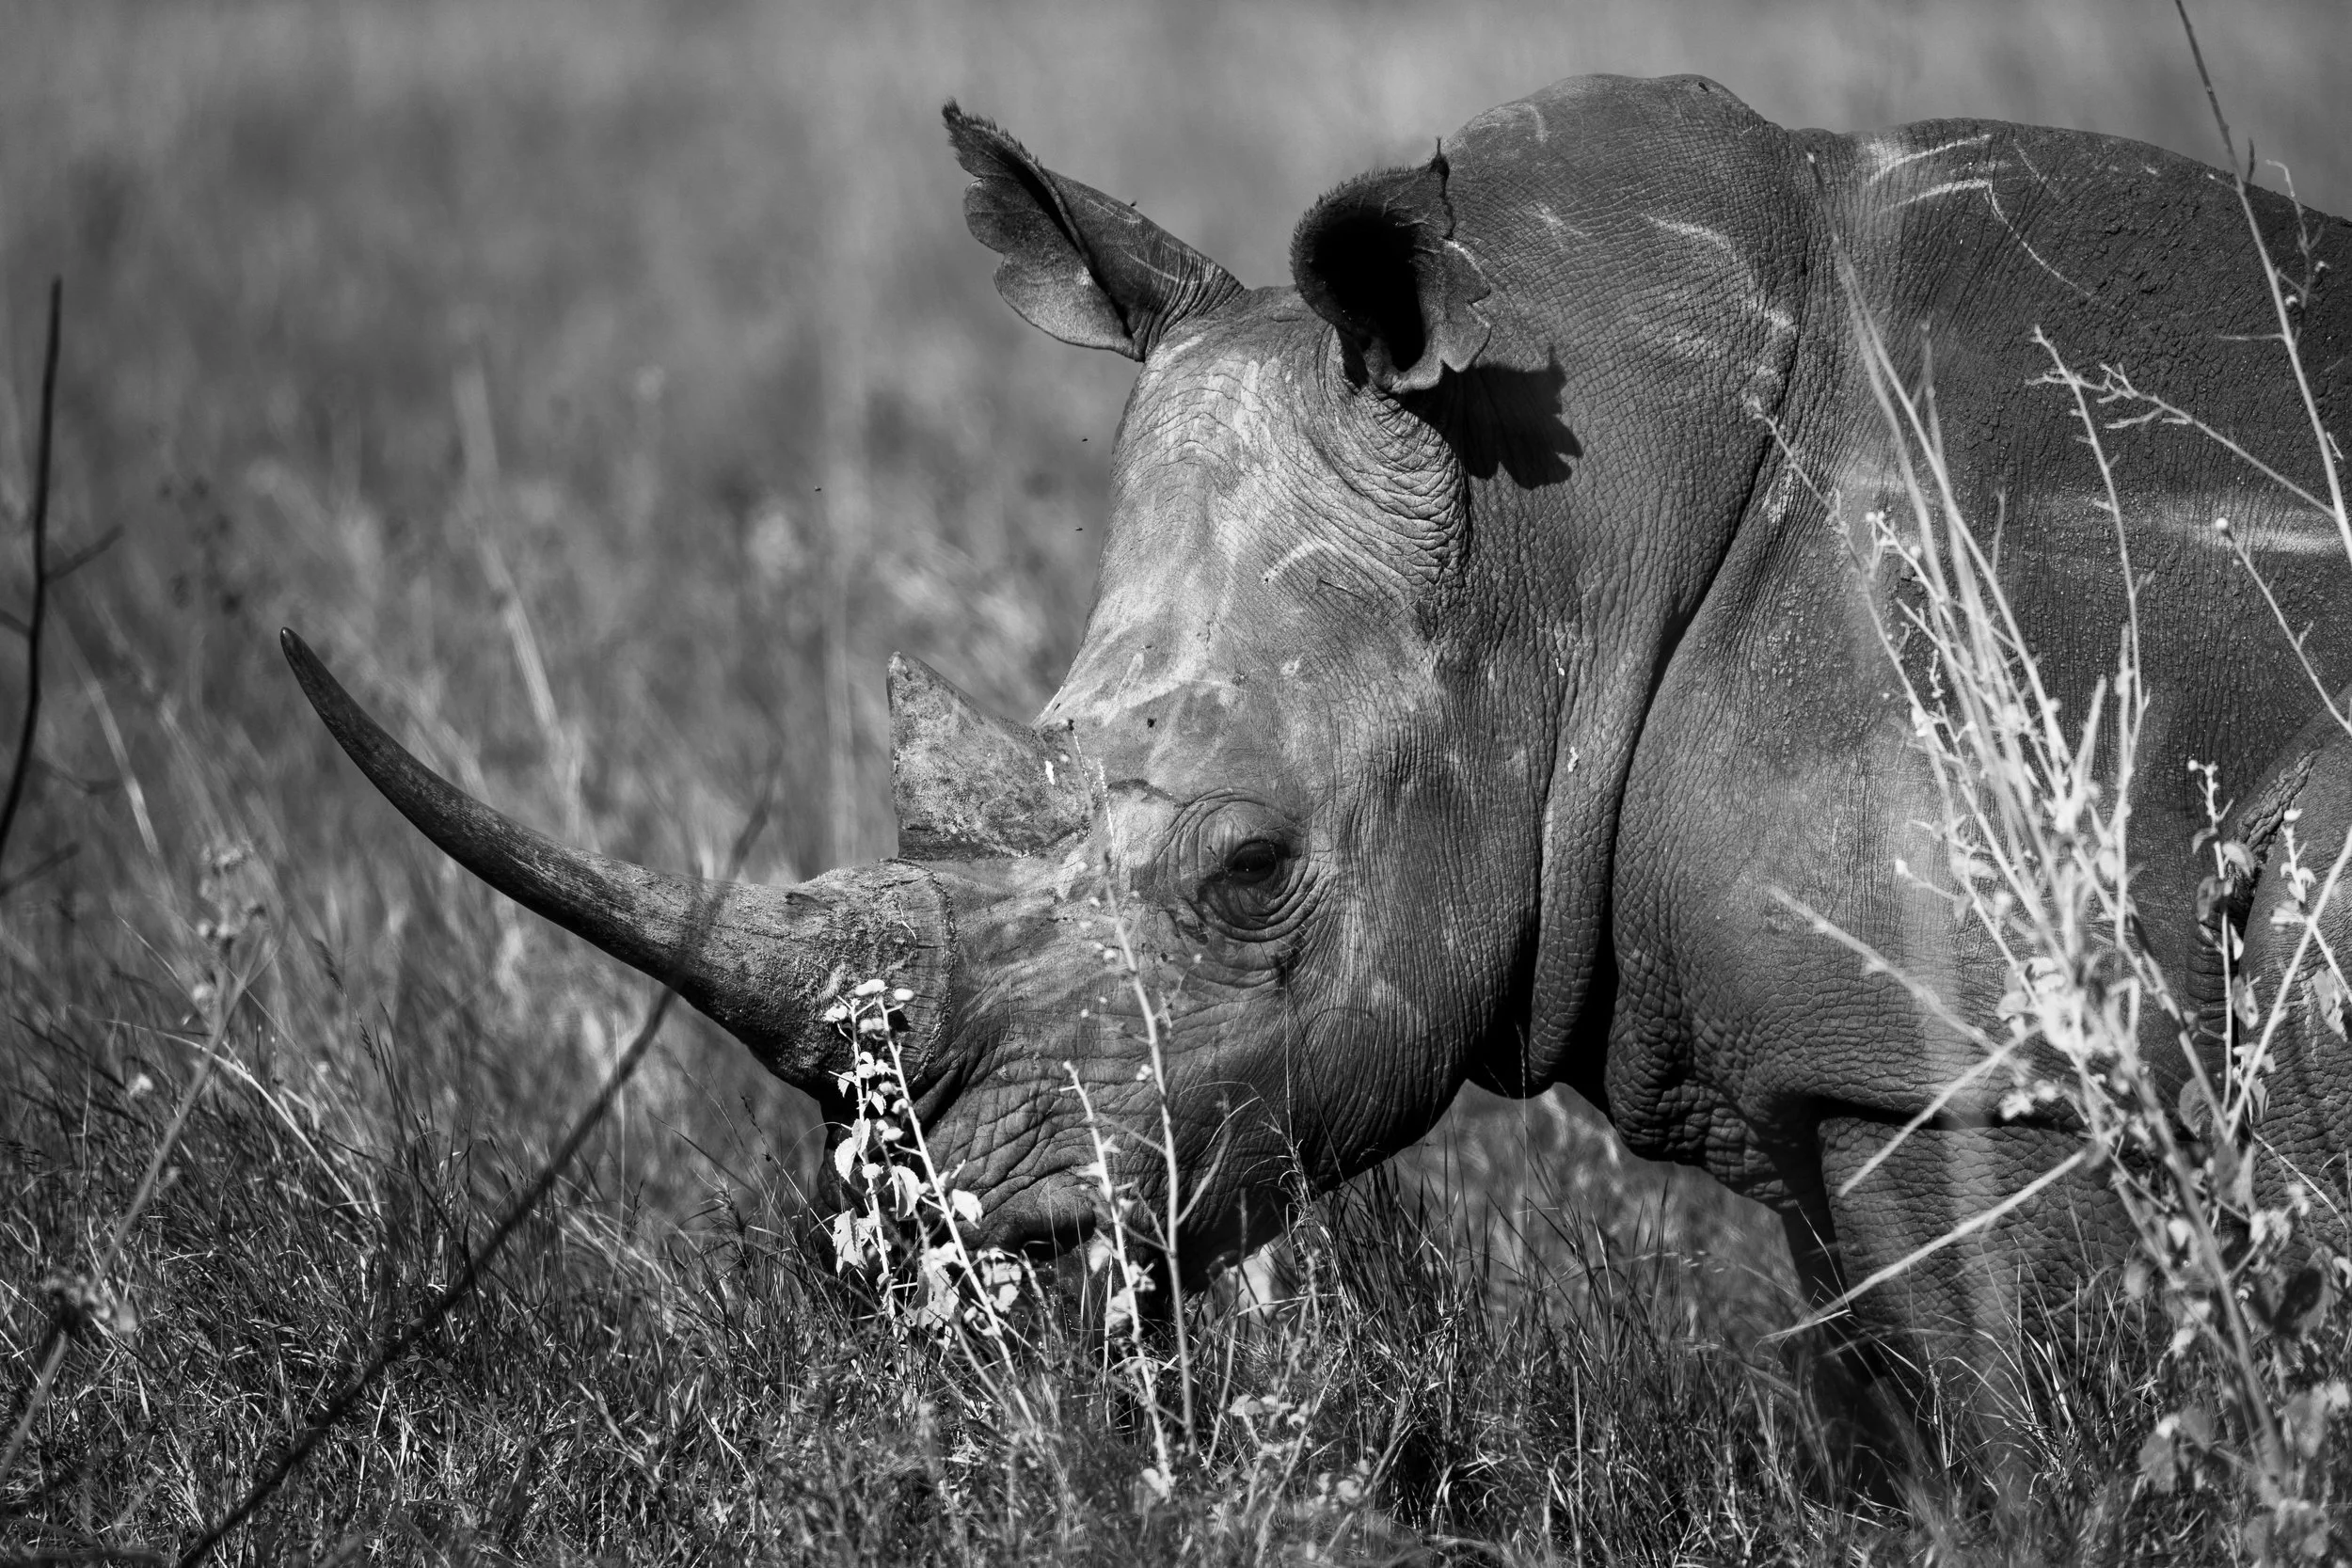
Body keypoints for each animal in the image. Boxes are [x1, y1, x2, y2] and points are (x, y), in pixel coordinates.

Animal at [285, 74, 2352, 1413]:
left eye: (1252, 869)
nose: (930, 1258)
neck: (1566, 531)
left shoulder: (1964, 1050)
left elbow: (1999, 1429)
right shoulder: (1849, 1059)